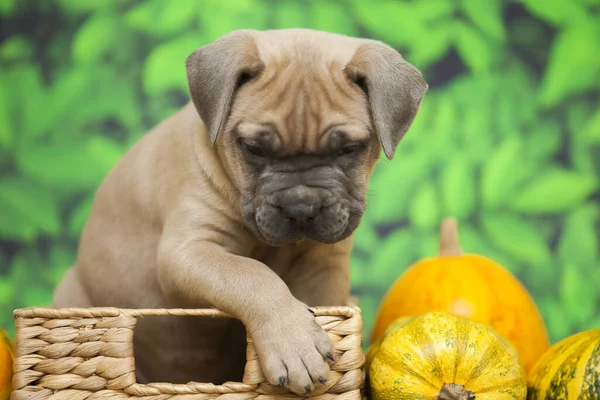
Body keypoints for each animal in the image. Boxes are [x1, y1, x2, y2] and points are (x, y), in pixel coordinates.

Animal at [52, 28, 426, 394]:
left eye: (348, 149)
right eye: (254, 148)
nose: (301, 206)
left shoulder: (324, 267)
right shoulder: (189, 251)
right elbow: (251, 274)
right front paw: (295, 341)